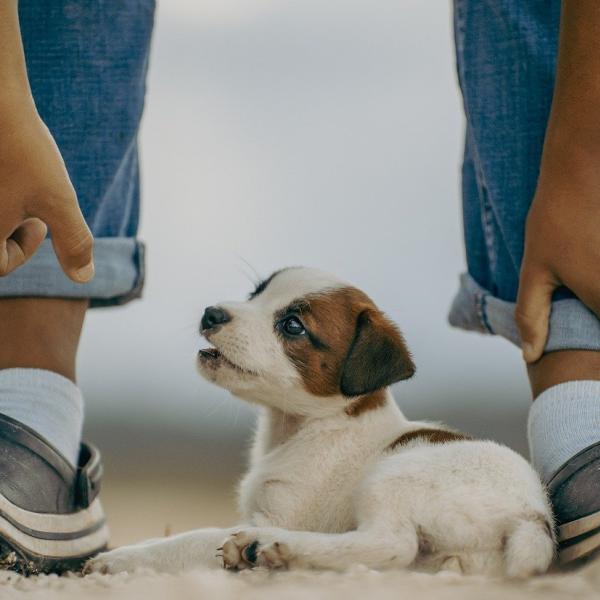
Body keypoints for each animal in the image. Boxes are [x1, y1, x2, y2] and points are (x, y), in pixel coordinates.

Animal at [86, 268, 556, 576]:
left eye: (293, 325)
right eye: (255, 293)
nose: (211, 313)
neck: (306, 427)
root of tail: (534, 517)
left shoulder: (278, 516)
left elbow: (190, 539)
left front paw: (122, 559)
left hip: (394, 476)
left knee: (392, 545)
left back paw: (269, 550)